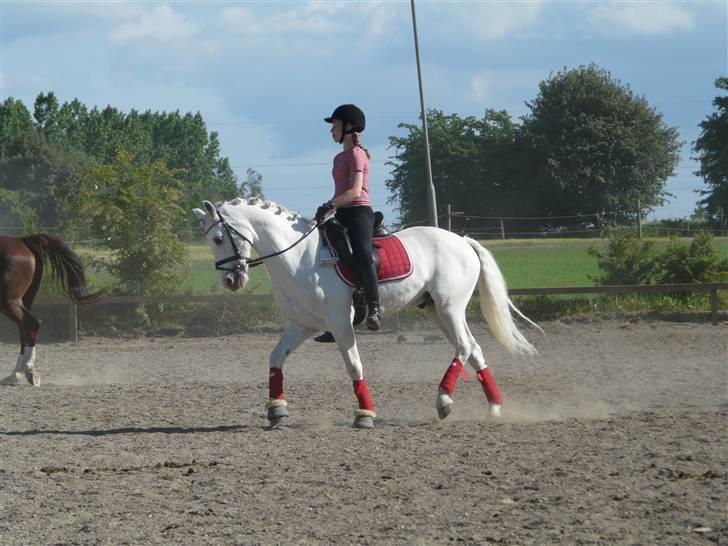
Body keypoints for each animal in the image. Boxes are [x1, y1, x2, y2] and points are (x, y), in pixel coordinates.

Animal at [0, 234, 103, 386]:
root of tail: (21, 241)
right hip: (23, 299)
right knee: (24, 328)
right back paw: (17, 374)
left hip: (8, 301)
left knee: (30, 324)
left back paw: (25, 370)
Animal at [193, 198, 538, 429]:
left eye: (219, 238)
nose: (231, 280)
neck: (298, 257)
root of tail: (463, 241)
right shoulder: (301, 325)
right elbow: (276, 358)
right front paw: (276, 410)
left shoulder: (340, 324)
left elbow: (354, 366)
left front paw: (365, 415)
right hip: (436, 311)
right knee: (474, 349)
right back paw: (495, 408)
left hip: (449, 307)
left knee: (465, 347)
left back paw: (444, 401)